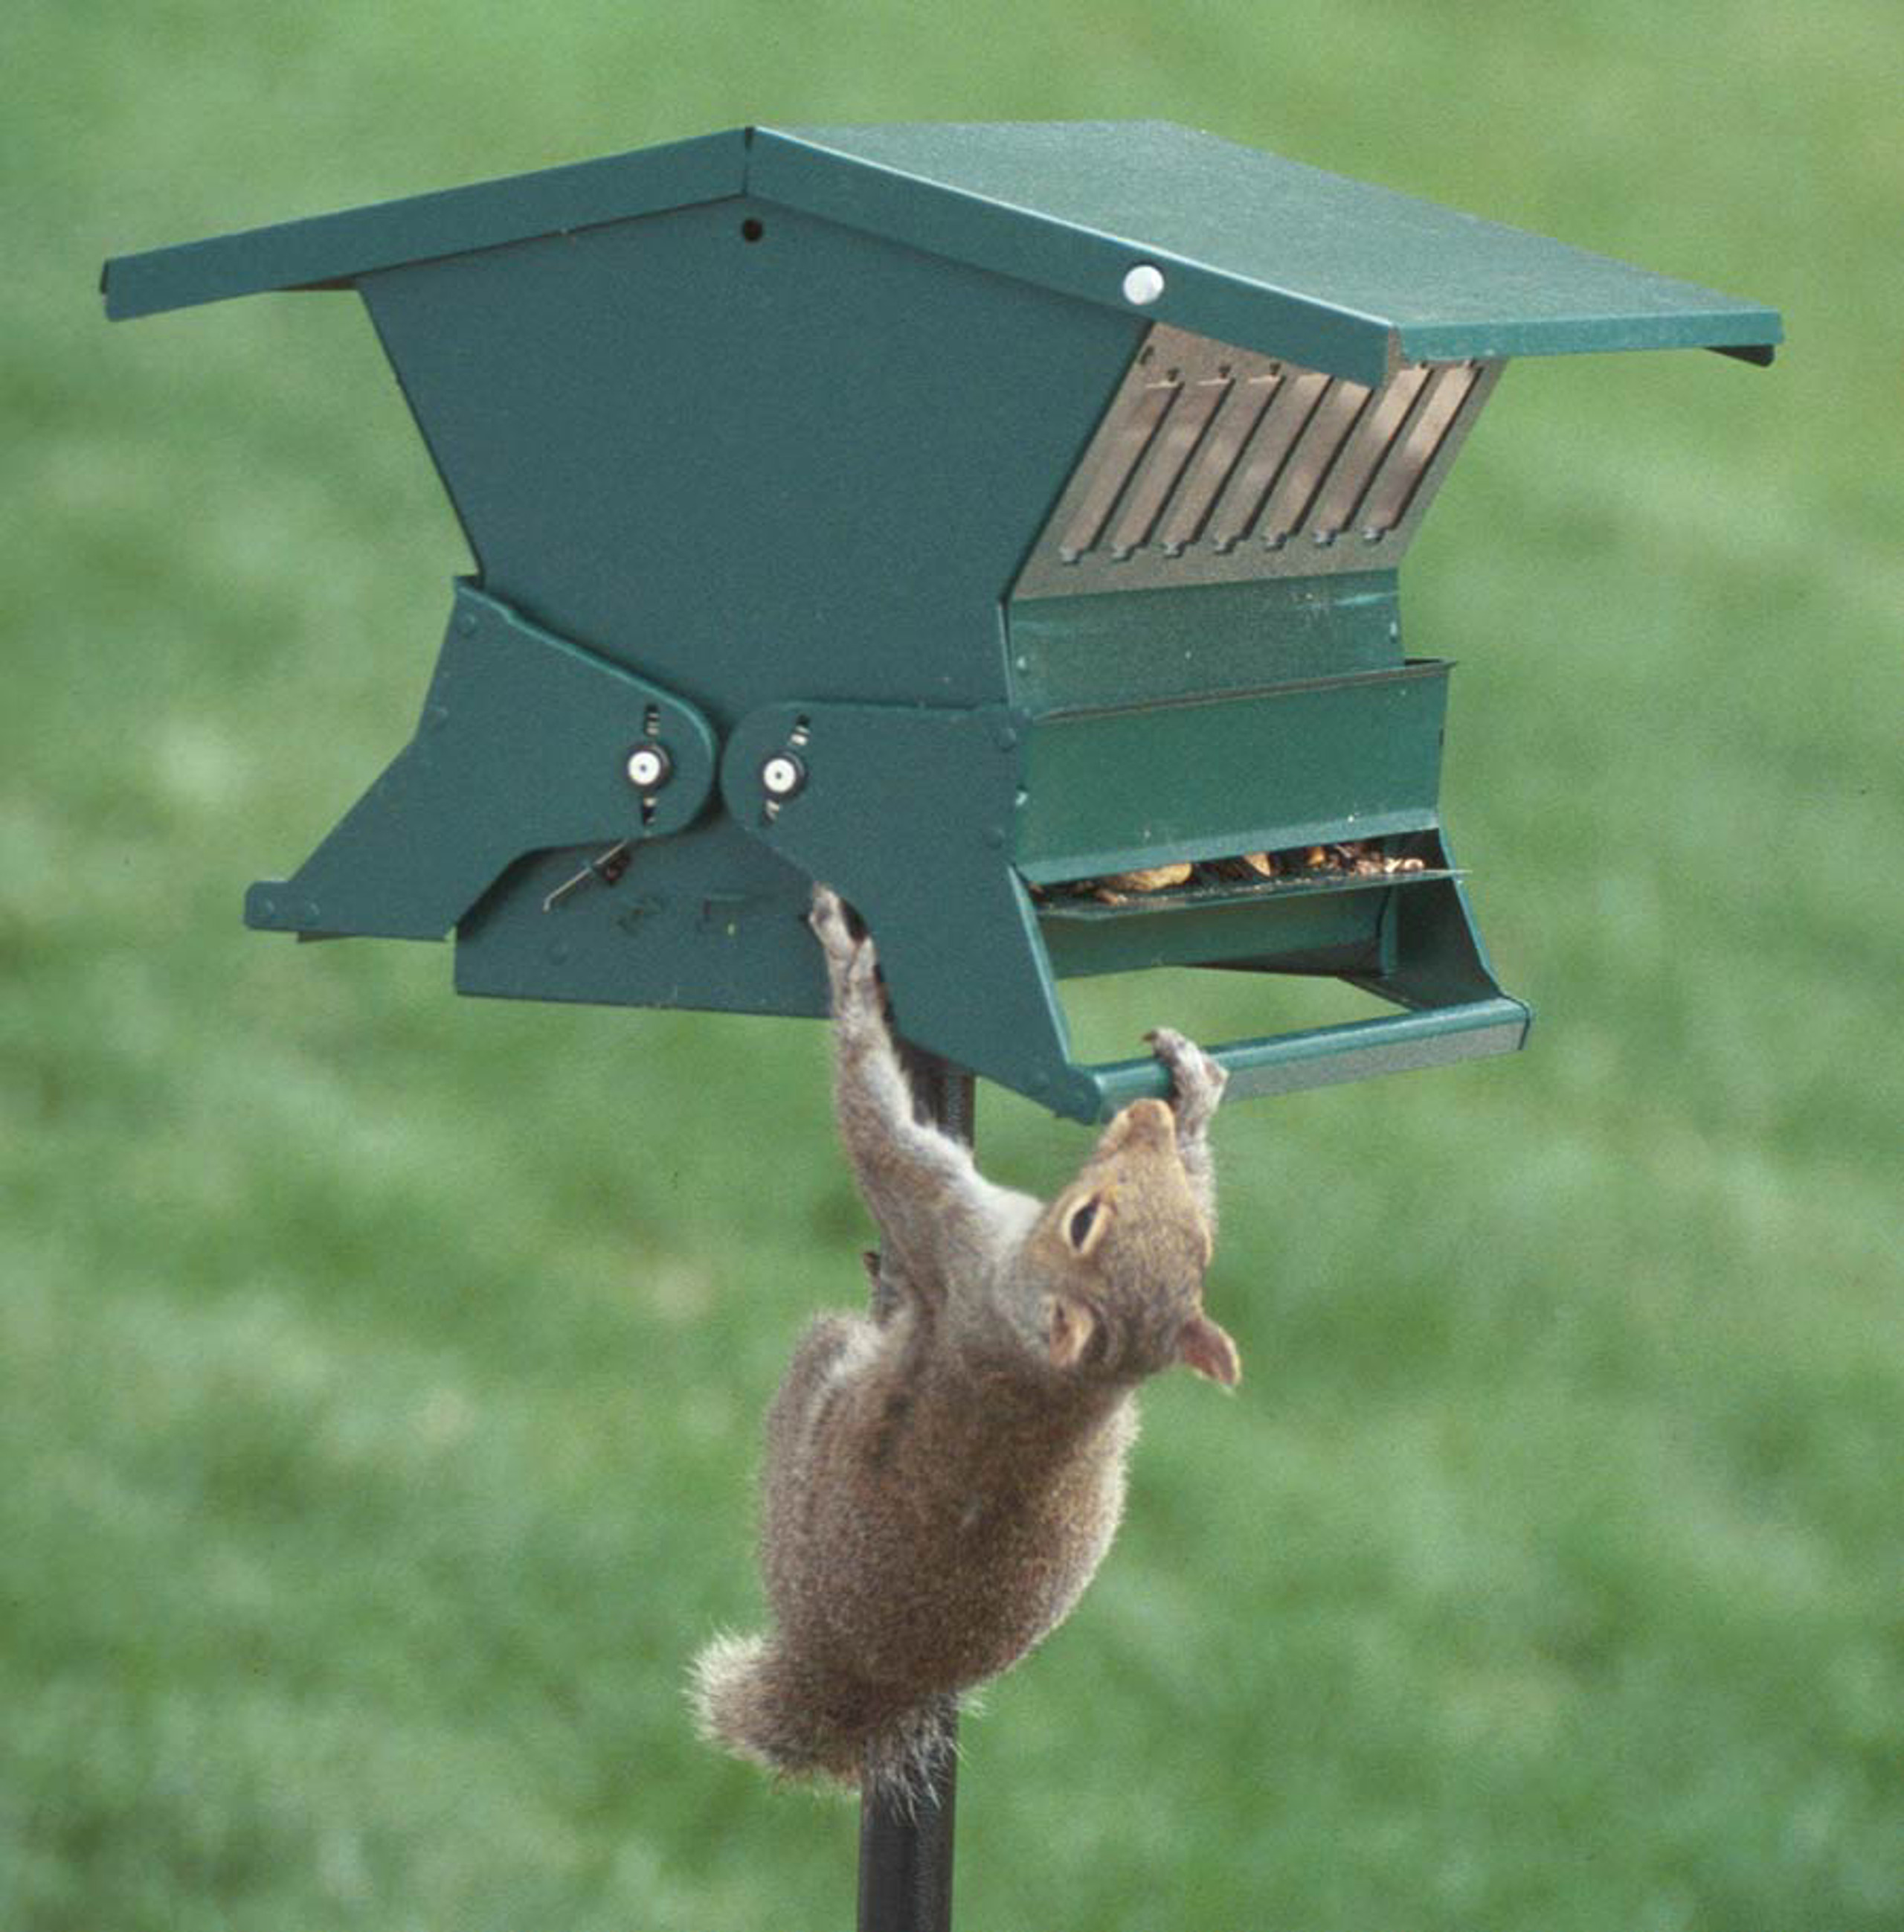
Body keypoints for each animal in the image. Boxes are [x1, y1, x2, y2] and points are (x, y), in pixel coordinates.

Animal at [691, 885, 1235, 1800]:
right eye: (1200, 1247)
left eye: (1081, 1222)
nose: (1145, 1111)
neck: (1058, 1372)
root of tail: (863, 1680)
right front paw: (1193, 1091)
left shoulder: (956, 1234)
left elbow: (875, 1128)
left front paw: (848, 970)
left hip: (807, 1400)